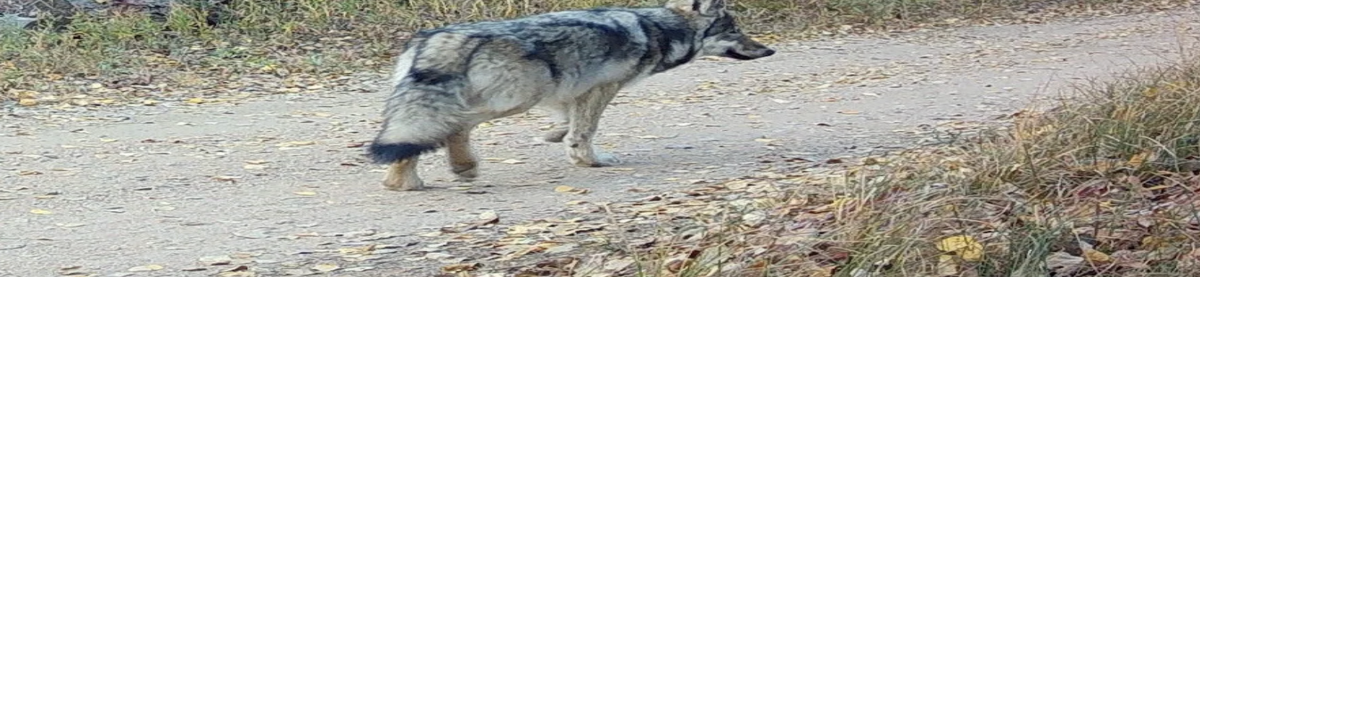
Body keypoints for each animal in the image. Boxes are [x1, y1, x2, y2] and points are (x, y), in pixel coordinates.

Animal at [367, 0, 775, 191]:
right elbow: (585, 132)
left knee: (418, 138)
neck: (657, 28)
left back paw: (406, 180)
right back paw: (451, 170)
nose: (769, 50)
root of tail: (440, 36)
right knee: (453, 127)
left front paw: (556, 138)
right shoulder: (601, 89)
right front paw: (590, 161)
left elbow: (567, 124)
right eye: (735, 31)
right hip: (516, 100)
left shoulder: (568, 93)